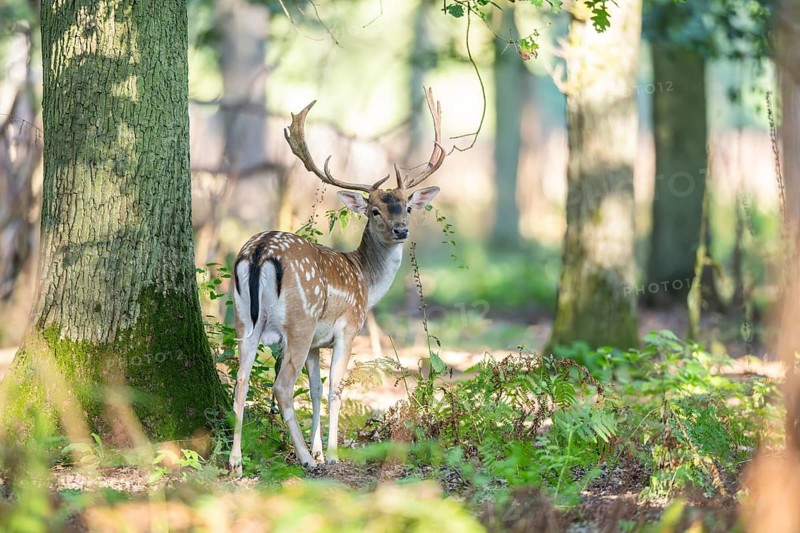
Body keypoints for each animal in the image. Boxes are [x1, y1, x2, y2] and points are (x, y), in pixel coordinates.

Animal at [228, 88, 445, 473]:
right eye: (374, 210)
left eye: (406, 207)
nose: (401, 230)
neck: (365, 282)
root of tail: (260, 251)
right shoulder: (348, 328)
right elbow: (334, 390)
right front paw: (328, 454)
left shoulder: (318, 343)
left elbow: (315, 391)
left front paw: (318, 449)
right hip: (299, 321)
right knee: (281, 387)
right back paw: (303, 460)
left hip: (245, 319)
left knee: (239, 381)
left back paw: (235, 462)